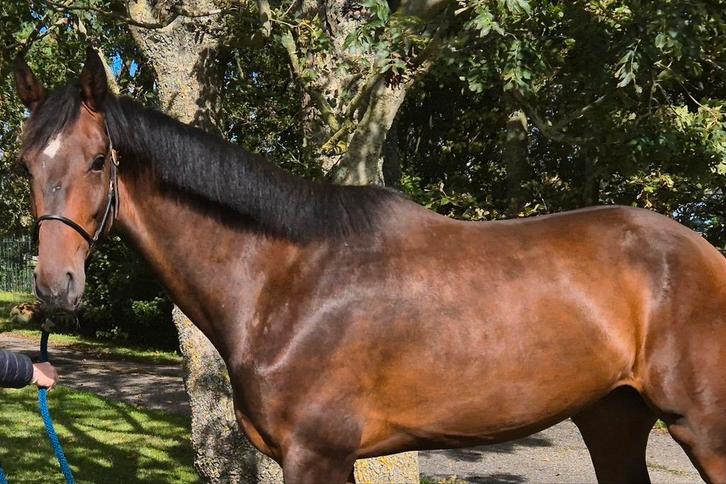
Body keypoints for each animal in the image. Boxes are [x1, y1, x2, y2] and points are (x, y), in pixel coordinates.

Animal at [14, 48, 726, 484]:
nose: (55, 286)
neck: (283, 281)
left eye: (98, 161)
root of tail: (704, 252)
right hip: (612, 417)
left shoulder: (317, 455)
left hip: (703, 428)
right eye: (25, 164)